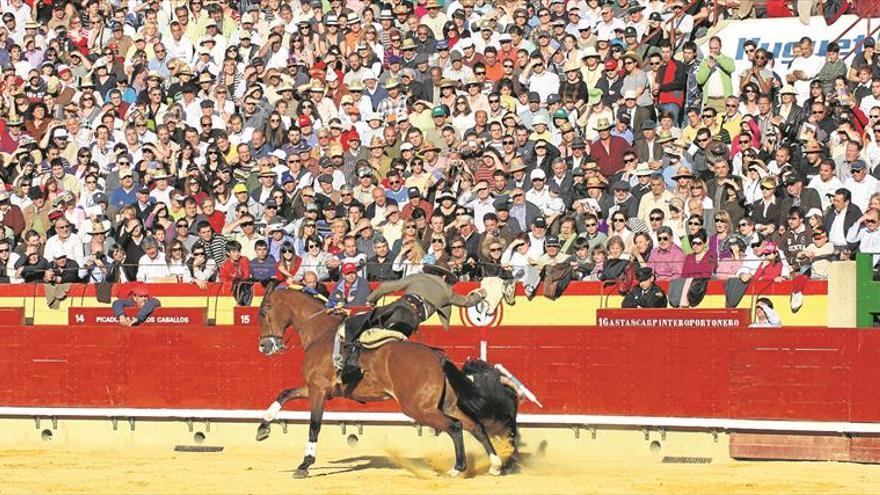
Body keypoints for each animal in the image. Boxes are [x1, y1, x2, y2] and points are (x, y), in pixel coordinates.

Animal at [254, 284, 520, 478]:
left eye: (264, 312)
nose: (265, 347)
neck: (321, 333)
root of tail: (438, 357)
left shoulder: (318, 389)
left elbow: (314, 426)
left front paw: (304, 465)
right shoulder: (316, 387)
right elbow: (284, 394)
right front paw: (263, 428)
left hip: (417, 407)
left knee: (455, 427)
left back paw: (457, 469)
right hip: (445, 404)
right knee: (475, 426)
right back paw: (495, 465)